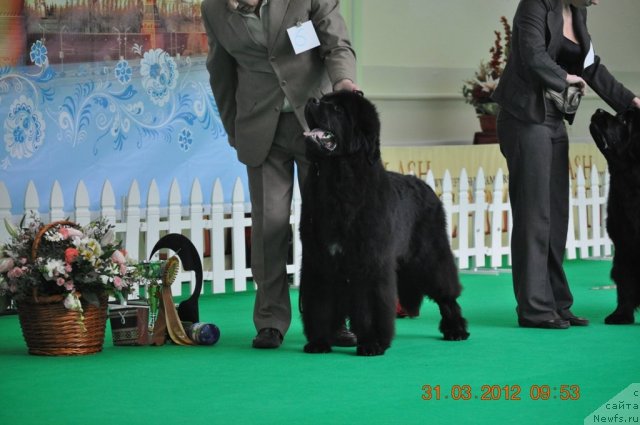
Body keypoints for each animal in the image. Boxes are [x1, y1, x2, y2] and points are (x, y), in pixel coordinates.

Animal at [300, 90, 470, 354]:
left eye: (338, 109)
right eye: (325, 98)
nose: (312, 100)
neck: (337, 179)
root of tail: (425, 186)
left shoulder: (369, 260)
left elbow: (370, 304)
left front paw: (372, 343)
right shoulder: (318, 261)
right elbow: (320, 303)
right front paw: (318, 342)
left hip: (430, 255)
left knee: (447, 293)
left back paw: (456, 330)